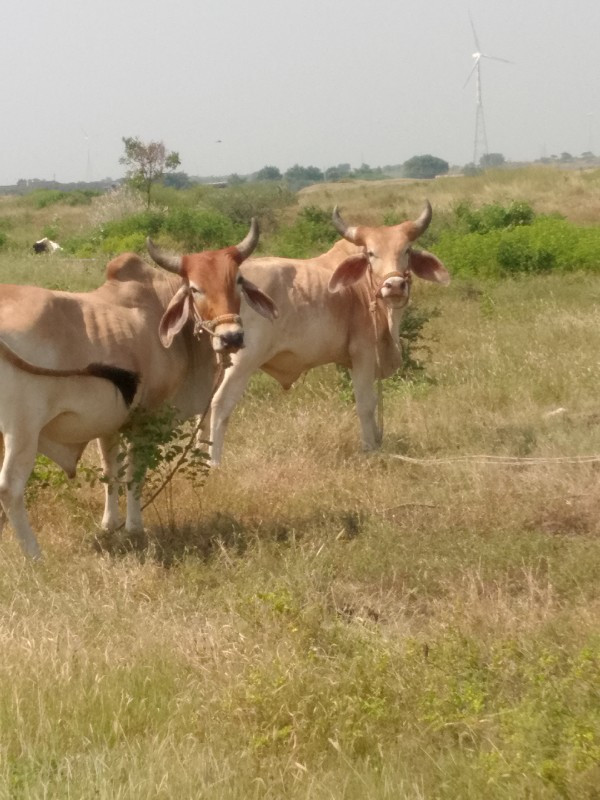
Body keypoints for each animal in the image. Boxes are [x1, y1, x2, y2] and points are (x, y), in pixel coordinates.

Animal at [0, 219, 276, 556]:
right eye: (194, 288)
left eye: (237, 280)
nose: (231, 337)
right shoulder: (145, 417)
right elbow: (135, 472)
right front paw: (134, 527)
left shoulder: (109, 422)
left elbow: (110, 471)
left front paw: (109, 524)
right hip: (22, 428)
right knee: (10, 488)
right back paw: (34, 555)